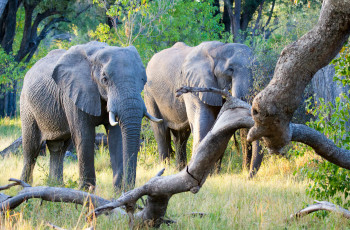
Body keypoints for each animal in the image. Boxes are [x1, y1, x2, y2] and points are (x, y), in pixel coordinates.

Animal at [21, 41, 163, 190]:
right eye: (105, 79)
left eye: (143, 79)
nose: (128, 187)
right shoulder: (73, 94)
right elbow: (84, 135)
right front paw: (85, 190)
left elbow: (116, 137)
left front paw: (117, 191)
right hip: (27, 106)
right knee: (31, 149)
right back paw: (24, 186)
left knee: (58, 148)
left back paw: (56, 186)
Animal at [144, 41, 262, 175]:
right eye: (230, 70)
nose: (246, 173)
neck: (218, 49)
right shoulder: (191, 85)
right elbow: (204, 121)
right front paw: (208, 174)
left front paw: (214, 174)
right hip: (149, 94)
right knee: (161, 131)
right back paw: (166, 168)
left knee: (181, 136)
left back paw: (179, 169)